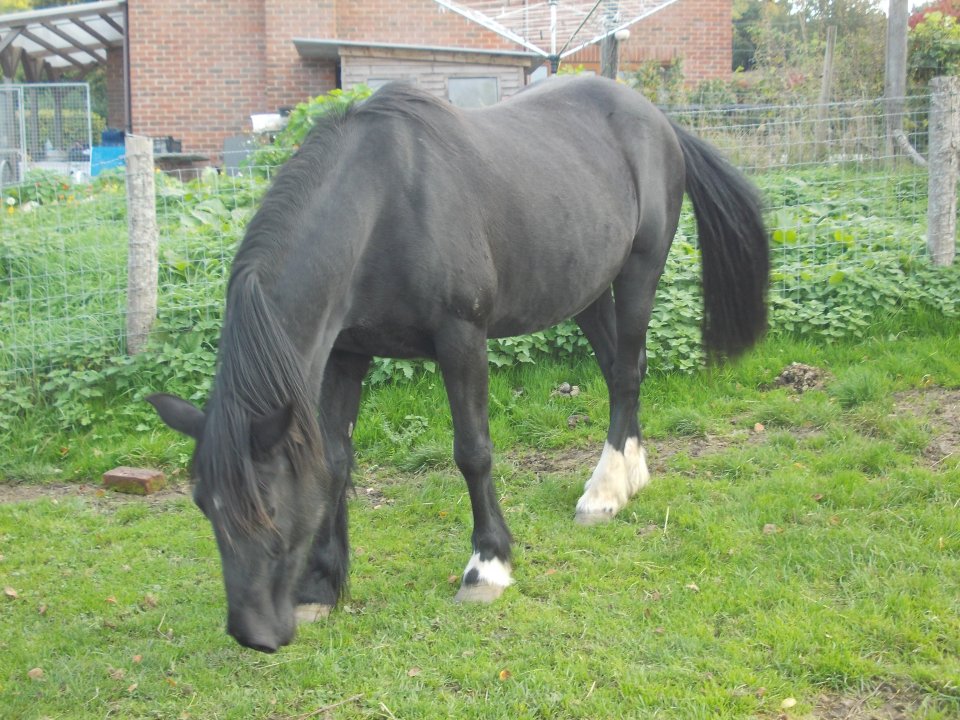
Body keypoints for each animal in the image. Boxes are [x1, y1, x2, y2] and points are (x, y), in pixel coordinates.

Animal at [148, 76, 768, 653]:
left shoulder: (461, 339)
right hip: (587, 289)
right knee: (622, 371)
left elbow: (473, 452)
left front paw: (487, 566)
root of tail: (660, 121)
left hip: (640, 270)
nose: (252, 632)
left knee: (625, 371)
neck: (383, 206)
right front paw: (322, 587)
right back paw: (629, 476)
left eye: (270, 508)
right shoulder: (347, 353)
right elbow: (336, 461)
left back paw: (605, 492)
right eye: (203, 504)